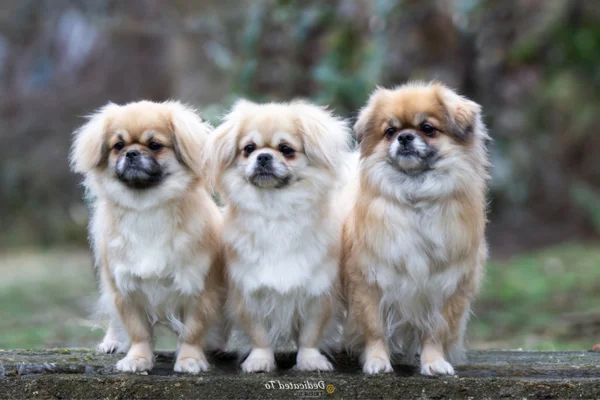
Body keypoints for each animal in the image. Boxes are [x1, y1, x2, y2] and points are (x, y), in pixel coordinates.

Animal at [71, 101, 225, 376]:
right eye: (118, 146)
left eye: (155, 145)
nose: (132, 153)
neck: (146, 207)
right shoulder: (124, 290)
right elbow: (138, 331)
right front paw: (137, 359)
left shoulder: (200, 289)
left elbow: (193, 331)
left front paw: (189, 360)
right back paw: (112, 342)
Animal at [211, 99, 352, 372]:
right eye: (249, 149)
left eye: (286, 149)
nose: (263, 156)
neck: (275, 209)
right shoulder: (249, 293)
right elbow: (259, 335)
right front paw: (260, 361)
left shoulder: (317, 293)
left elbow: (310, 334)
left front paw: (310, 361)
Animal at [344, 81, 490, 376]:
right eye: (390, 132)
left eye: (427, 128)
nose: (405, 137)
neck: (416, 199)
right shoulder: (368, 281)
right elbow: (374, 328)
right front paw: (376, 361)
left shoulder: (447, 286)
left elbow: (436, 332)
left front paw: (433, 362)